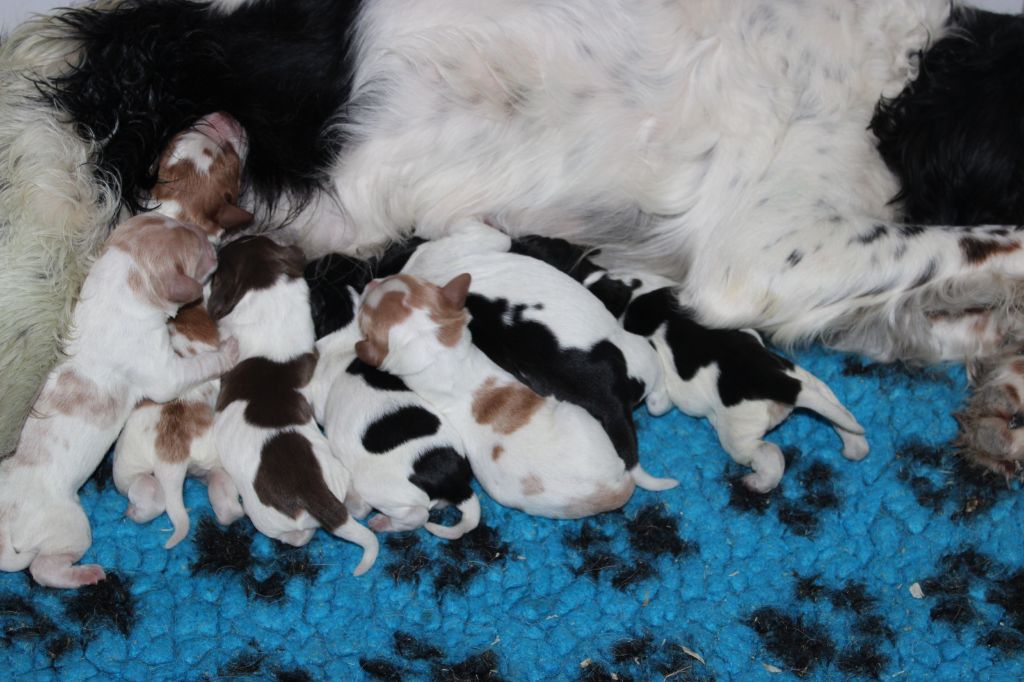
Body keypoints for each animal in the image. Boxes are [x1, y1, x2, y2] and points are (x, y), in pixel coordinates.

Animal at [0, 212, 237, 585]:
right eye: (198, 249)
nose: (215, 243)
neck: (116, 287)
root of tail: (5, 531)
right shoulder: (164, 374)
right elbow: (199, 365)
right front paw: (228, 351)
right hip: (70, 527)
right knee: (44, 569)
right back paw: (88, 574)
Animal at [207, 235, 380, 573]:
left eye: (220, 267)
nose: (224, 240)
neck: (268, 295)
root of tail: (310, 488)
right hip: (336, 472)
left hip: (266, 517)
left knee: (296, 536)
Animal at [512, 236, 864, 491]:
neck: (598, 280)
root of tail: (783, 384)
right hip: (810, 382)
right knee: (841, 416)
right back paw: (854, 446)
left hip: (738, 433)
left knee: (769, 456)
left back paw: (757, 482)